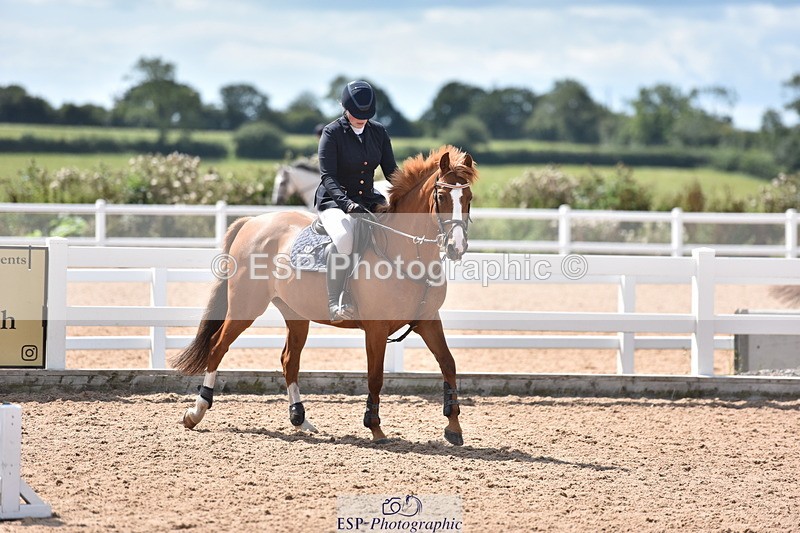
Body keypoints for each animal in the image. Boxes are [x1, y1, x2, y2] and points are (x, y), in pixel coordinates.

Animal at [172, 145, 477, 445]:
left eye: (468, 197)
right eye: (441, 196)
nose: (456, 247)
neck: (406, 253)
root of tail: (252, 222)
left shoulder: (428, 320)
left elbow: (448, 364)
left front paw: (454, 426)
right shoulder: (376, 329)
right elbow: (375, 377)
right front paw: (375, 428)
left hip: (295, 313)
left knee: (289, 360)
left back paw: (300, 419)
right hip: (245, 308)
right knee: (217, 347)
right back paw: (196, 412)